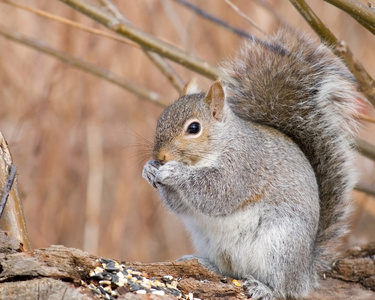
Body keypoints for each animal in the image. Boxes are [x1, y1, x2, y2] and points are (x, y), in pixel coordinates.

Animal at [142, 29, 366, 298]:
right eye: (161, 119)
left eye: (193, 128)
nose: (161, 157)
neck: (220, 146)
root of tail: (305, 270)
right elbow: (181, 206)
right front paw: (149, 169)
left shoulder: (243, 167)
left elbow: (216, 193)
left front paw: (175, 172)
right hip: (212, 243)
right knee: (230, 270)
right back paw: (203, 263)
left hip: (279, 246)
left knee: (284, 289)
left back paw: (265, 288)